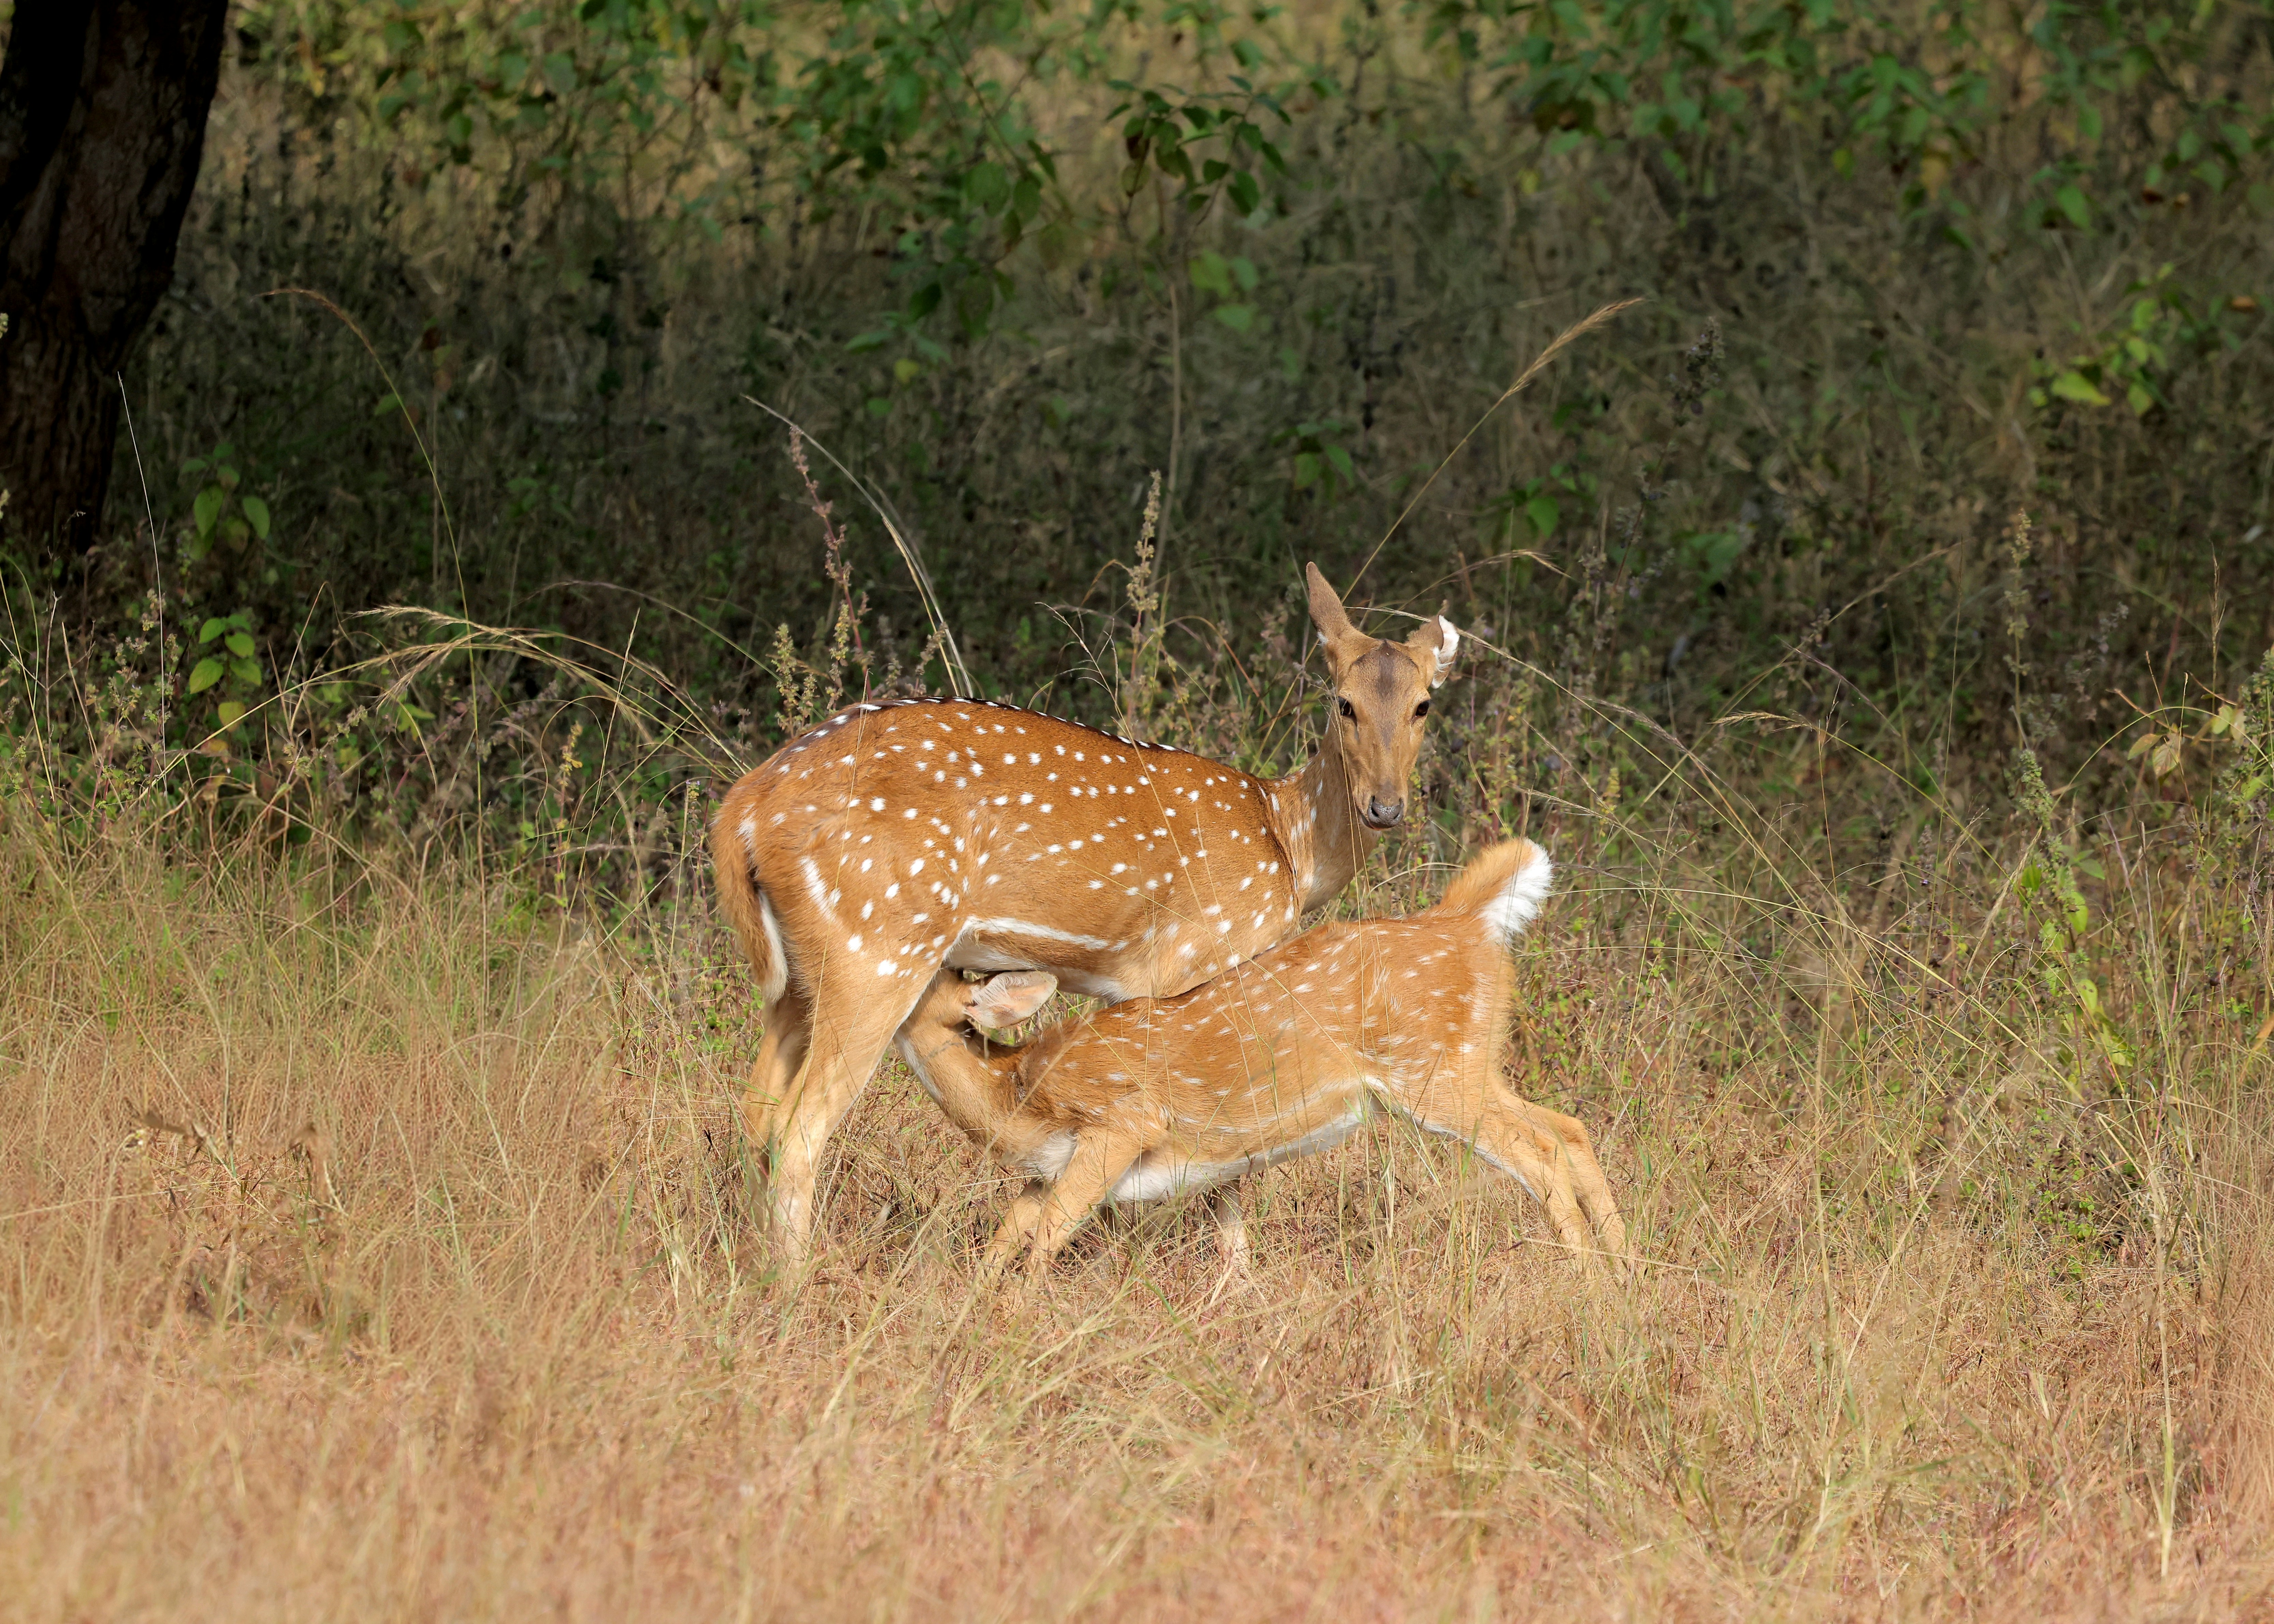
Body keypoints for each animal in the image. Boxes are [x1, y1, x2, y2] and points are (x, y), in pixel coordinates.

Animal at [712, 563, 1459, 1254]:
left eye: (1423, 705)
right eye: (1343, 703)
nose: (1384, 806)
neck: (1290, 847)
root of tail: (745, 806)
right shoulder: (1189, 961)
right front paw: (1224, 1276)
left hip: (798, 976)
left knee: (755, 1112)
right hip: (877, 947)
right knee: (800, 1127)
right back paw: (795, 1281)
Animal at [890, 837, 1626, 1276]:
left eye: (927, 972)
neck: (1011, 1095)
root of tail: (1465, 922)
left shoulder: (1122, 1122)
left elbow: (1044, 1240)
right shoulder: (1047, 1168)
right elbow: (1005, 1237)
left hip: (1431, 1074)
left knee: (1539, 1150)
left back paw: (1588, 1284)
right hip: (1470, 1062)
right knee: (1569, 1128)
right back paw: (1627, 1272)